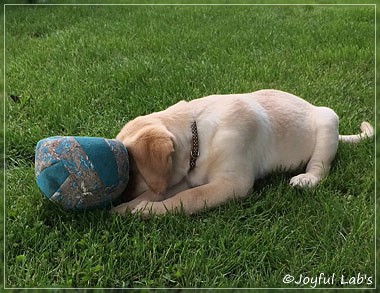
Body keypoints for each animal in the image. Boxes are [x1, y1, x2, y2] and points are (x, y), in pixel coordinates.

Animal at [112, 88, 372, 214]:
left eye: (132, 170)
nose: (120, 196)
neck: (197, 134)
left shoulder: (233, 183)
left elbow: (188, 198)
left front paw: (146, 210)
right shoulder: (187, 176)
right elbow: (167, 191)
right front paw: (128, 207)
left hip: (327, 123)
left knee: (320, 167)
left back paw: (306, 179)